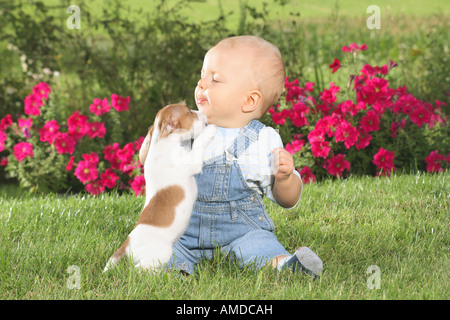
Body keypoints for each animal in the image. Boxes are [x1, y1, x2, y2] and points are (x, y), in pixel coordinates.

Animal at [105, 103, 218, 272]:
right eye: (190, 113)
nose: (204, 114)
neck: (163, 141)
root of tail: (127, 243)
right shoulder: (190, 160)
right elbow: (198, 143)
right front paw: (210, 129)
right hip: (162, 252)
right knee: (138, 270)